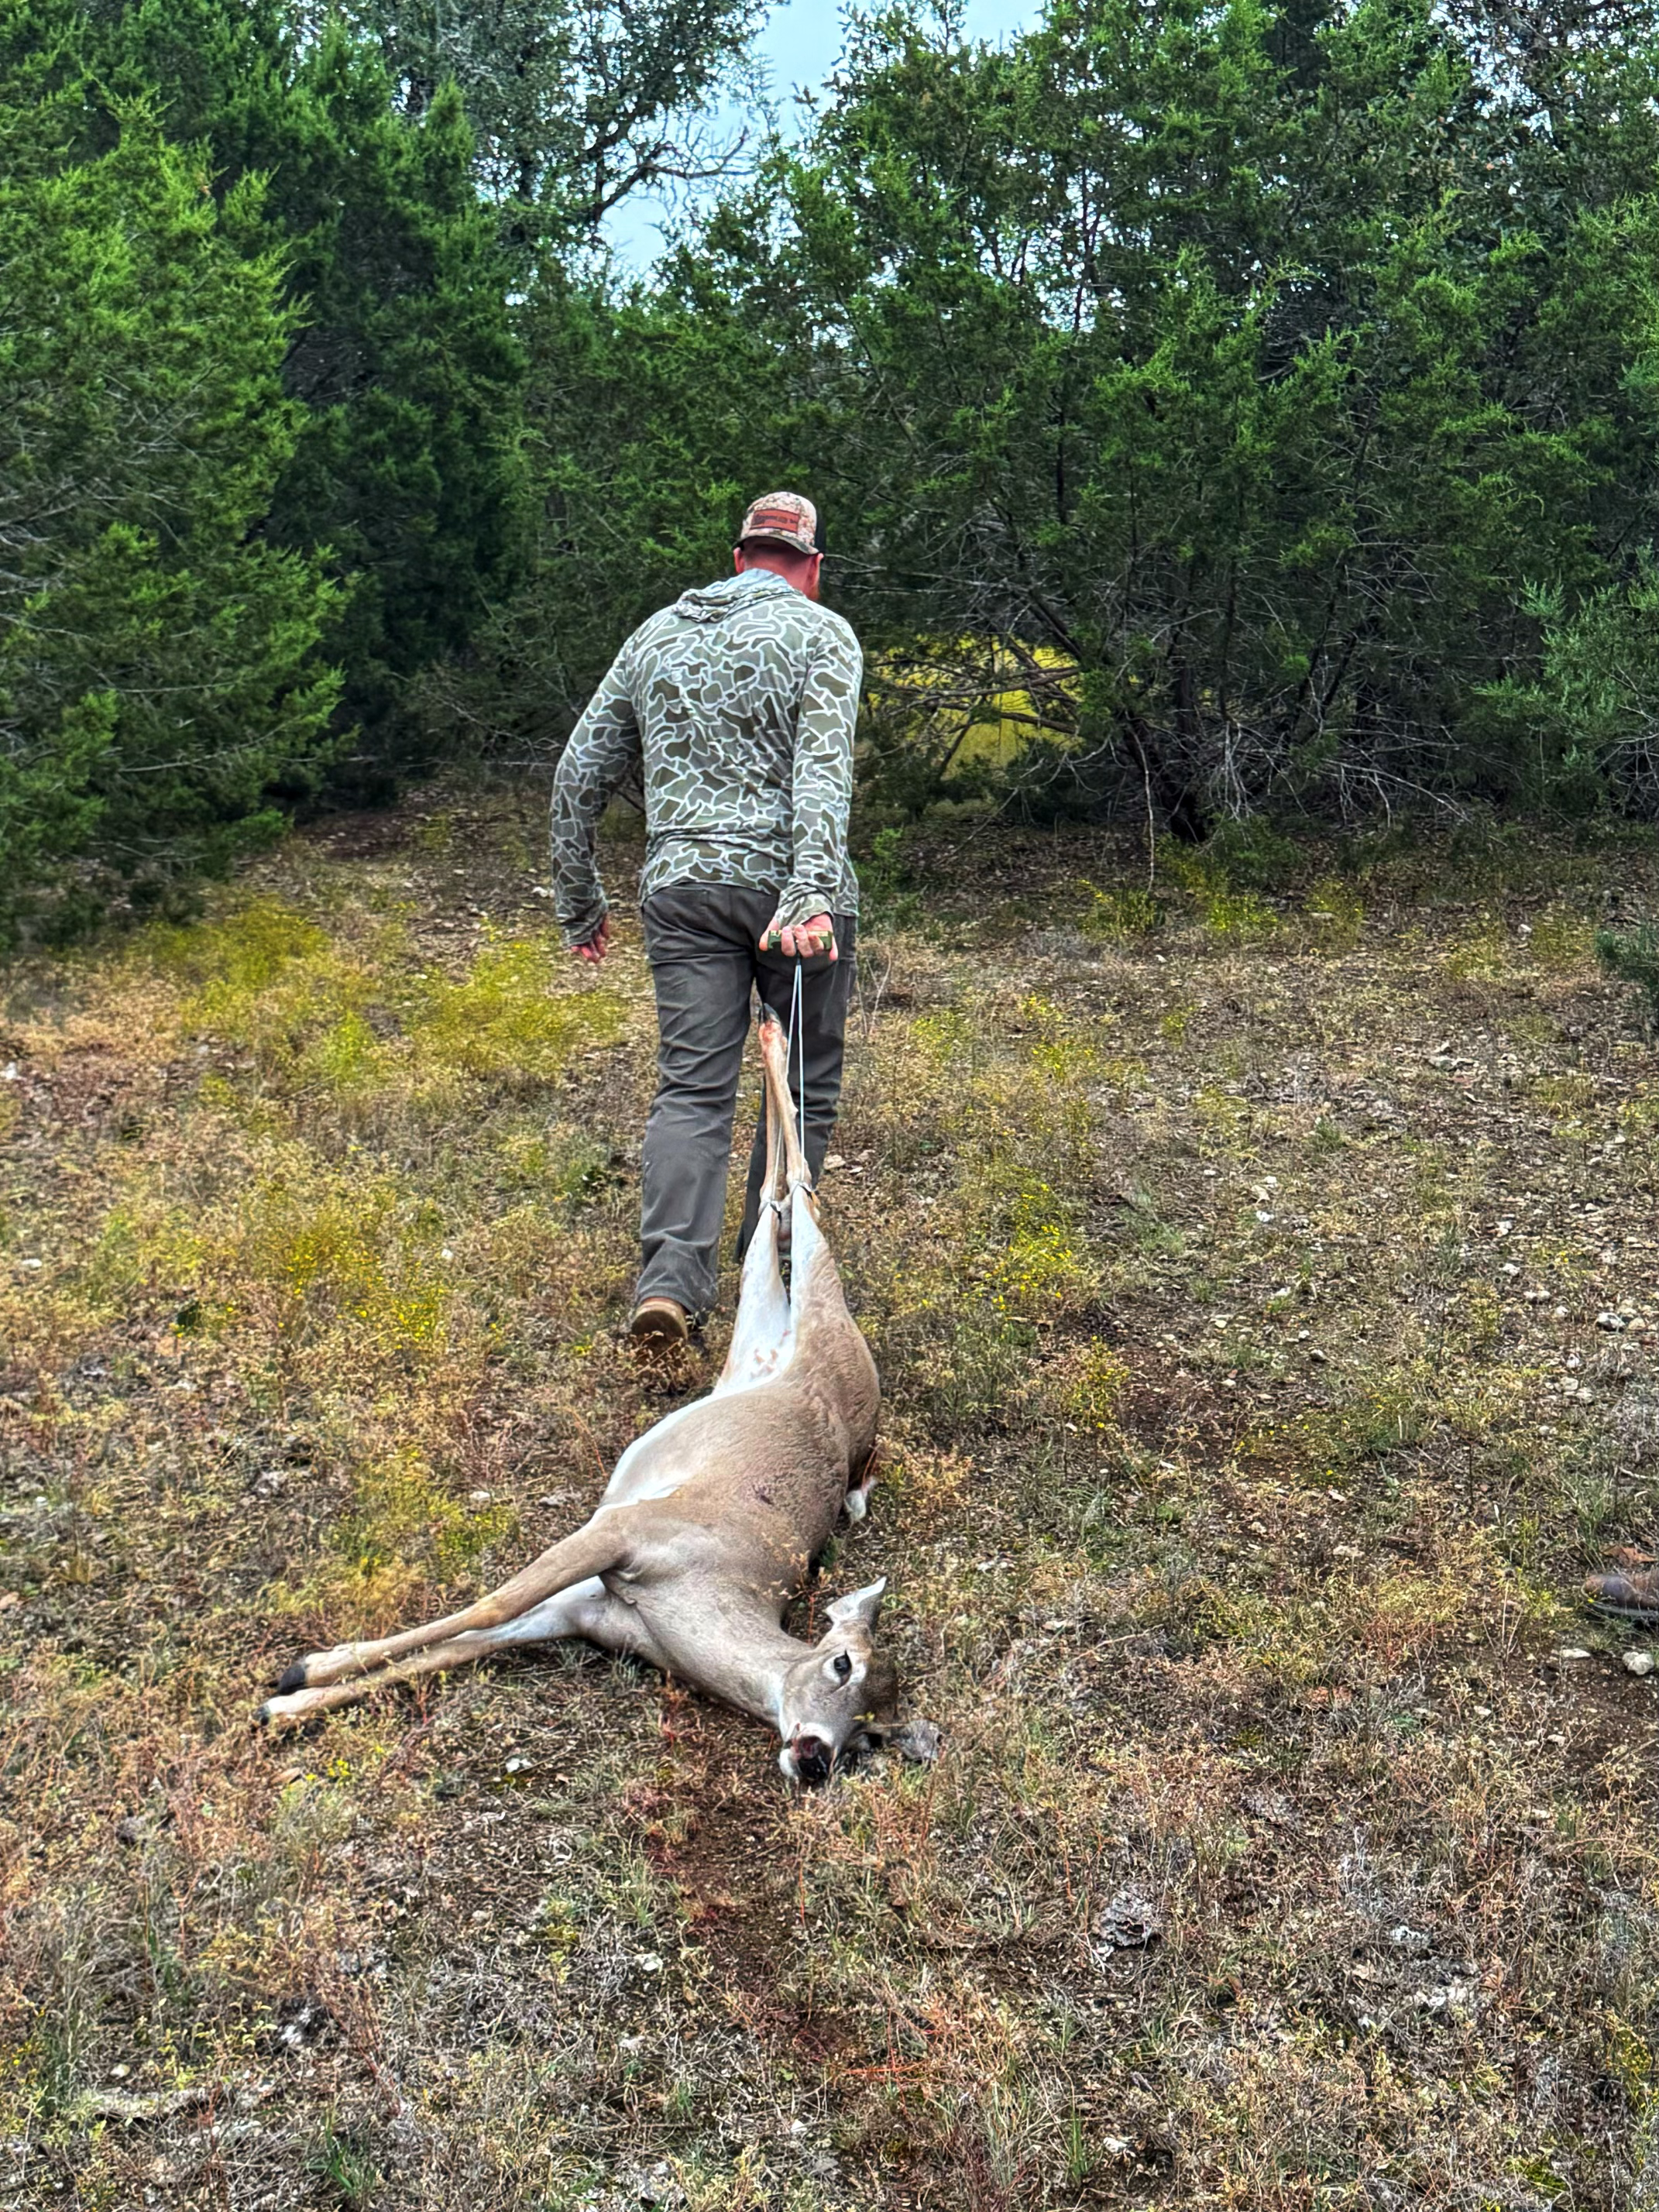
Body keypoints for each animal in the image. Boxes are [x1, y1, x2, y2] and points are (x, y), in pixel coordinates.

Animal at [261, 1012, 935, 1783]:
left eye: (872, 1734)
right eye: (840, 1663)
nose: (817, 1756)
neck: (690, 1600)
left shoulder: (589, 1610)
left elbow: (470, 1640)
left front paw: (285, 1702)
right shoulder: (627, 1530)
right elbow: (490, 1605)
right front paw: (302, 1670)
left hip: (761, 1315)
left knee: (778, 1204)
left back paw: (768, 1030)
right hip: (813, 1299)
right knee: (796, 1193)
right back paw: (771, 1030)